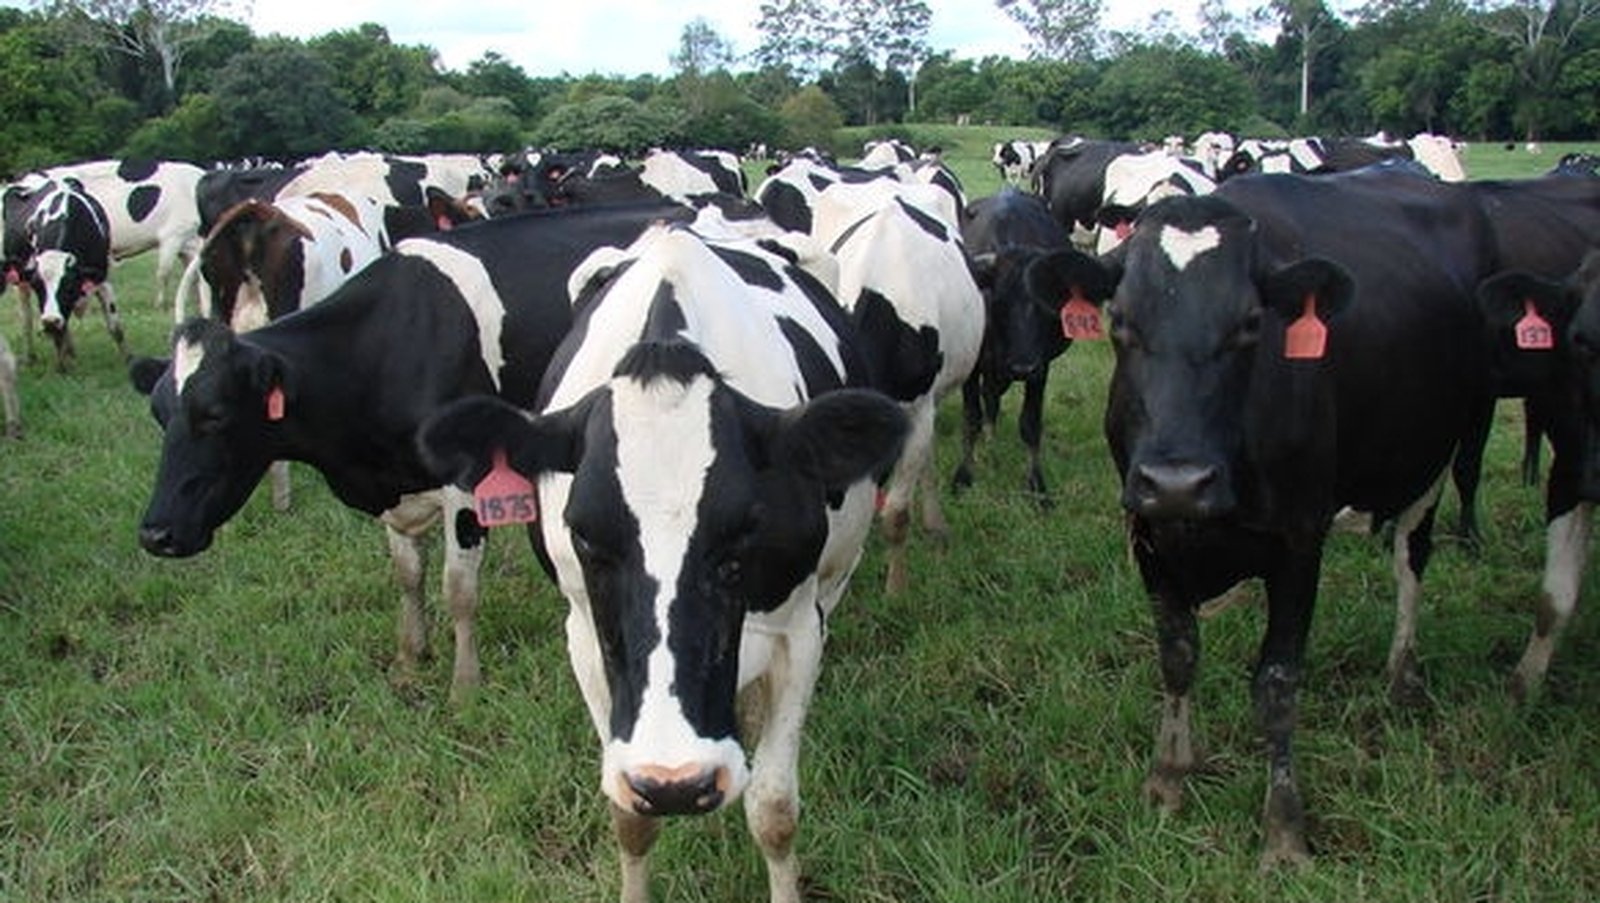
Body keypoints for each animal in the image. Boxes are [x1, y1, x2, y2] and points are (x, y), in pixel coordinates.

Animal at [128, 201, 695, 702]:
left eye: (215, 415)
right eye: (158, 415)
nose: (156, 534)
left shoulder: (468, 479)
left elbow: (458, 588)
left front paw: (464, 686)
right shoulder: (393, 488)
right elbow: (407, 574)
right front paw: (410, 657)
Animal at [416, 222, 907, 903]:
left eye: (745, 530)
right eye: (585, 534)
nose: (678, 781)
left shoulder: (799, 630)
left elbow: (774, 809)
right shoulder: (586, 634)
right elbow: (629, 814)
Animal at [954, 187, 1077, 504]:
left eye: (1047, 303)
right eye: (999, 301)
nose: (1022, 366)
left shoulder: (1041, 368)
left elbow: (1030, 425)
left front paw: (1037, 485)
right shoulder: (972, 366)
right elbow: (970, 418)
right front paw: (964, 475)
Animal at [1034, 167, 1495, 866]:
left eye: (1251, 324)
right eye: (1120, 320)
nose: (1178, 482)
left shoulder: (1300, 540)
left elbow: (1277, 684)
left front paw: (1284, 831)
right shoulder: (1148, 531)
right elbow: (1177, 654)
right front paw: (1168, 779)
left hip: (1440, 451)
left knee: (1411, 559)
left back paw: (1402, 674)